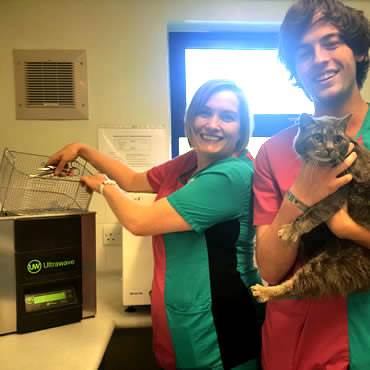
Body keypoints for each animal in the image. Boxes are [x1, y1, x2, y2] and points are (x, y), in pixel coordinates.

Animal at [251, 113, 370, 304]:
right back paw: (263, 292)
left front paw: (291, 230)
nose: (329, 149)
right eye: (318, 137)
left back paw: (264, 291)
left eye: (338, 139)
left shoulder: (337, 193)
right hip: (326, 265)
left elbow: (311, 213)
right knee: (294, 287)